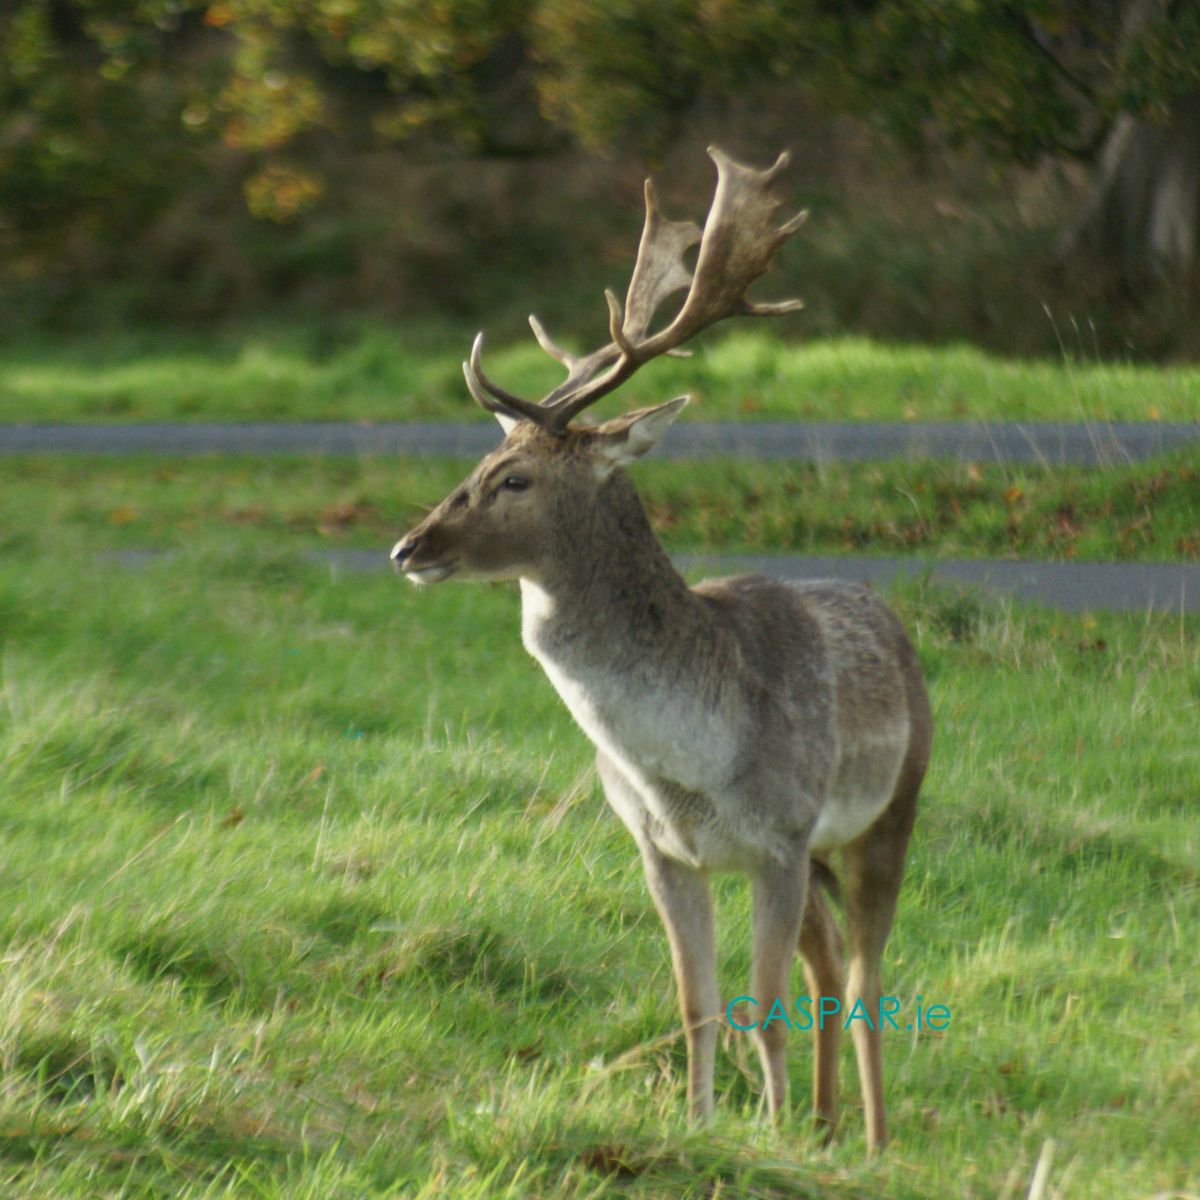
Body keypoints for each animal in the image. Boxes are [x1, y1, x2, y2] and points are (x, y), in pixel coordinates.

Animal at [390, 147, 932, 1152]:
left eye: (514, 479)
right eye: (478, 465)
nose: (408, 548)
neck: (691, 759)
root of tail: (892, 618)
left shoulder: (780, 835)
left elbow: (761, 1006)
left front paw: (765, 1138)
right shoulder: (660, 848)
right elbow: (697, 1004)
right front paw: (704, 1125)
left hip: (889, 809)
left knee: (867, 976)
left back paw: (873, 1141)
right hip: (824, 853)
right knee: (830, 966)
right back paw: (829, 1124)